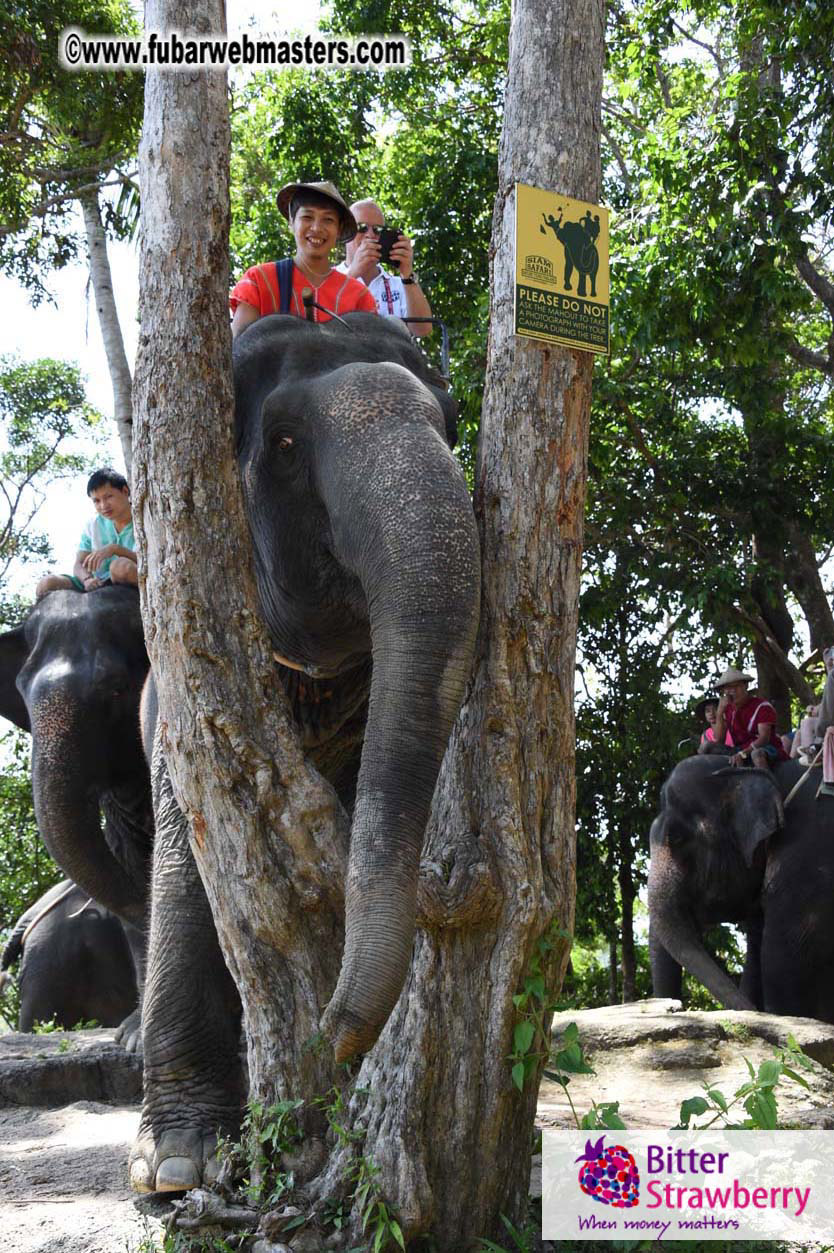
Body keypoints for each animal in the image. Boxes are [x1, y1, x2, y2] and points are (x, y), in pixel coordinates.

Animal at [130, 312, 481, 1193]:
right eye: (285, 444)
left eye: (451, 425)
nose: (332, 1028)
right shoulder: (184, 697)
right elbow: (185, 861)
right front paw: (177, 1164)